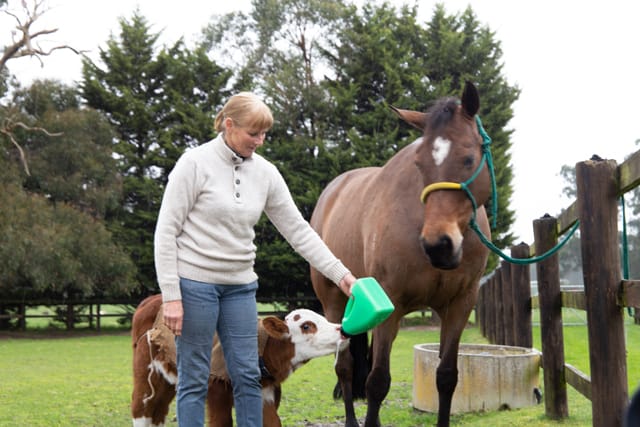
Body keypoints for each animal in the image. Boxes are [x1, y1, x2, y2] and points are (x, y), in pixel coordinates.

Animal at [131, 294, 348, 427]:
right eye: (306, 326)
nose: (342, 330)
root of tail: (150, 300)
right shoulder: (217, 391)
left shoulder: (266, 393)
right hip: (146, 373)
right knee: (141, 408)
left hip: (168, 380)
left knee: (158, 412)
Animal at [310, 81, 491, 427]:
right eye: (419, 163)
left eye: (469, 158)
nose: (438, 245)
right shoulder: (390, 306)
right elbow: (378, 382)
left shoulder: (460, 305)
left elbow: (447, 376)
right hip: (334, 303)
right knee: (345, 368)